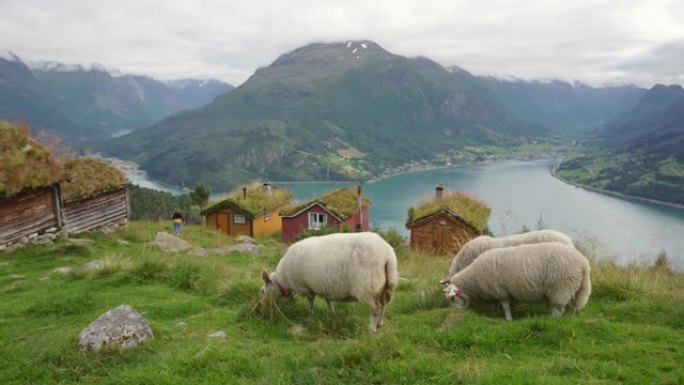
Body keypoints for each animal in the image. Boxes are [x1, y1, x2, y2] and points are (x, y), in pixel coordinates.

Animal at [262, 231, 400, 330]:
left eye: (262, 291)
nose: (263, 305)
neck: (283, 281)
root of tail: (388, 255)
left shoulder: (306, 288)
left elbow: (310, 304)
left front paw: (311, 315)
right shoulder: (325, 287)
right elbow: (328, 302)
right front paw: (332, 314)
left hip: (368, 286)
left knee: (376, 309)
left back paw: (372, 328)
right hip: (385, 284)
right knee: (384, 305)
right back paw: (380, 323)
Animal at [440, 242, 592, 320]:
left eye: (452, 298)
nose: (457, 312)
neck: (474, 277)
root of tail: (583, 263)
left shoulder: (501, 291)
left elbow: (506, 306)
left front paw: (508, 319)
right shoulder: (494, 293)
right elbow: (493, 305)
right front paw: (493, 314)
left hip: (561, 287)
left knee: (558, 308)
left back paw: (552, 319)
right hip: (574, 287)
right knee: (571, 306)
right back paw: (569, 319)